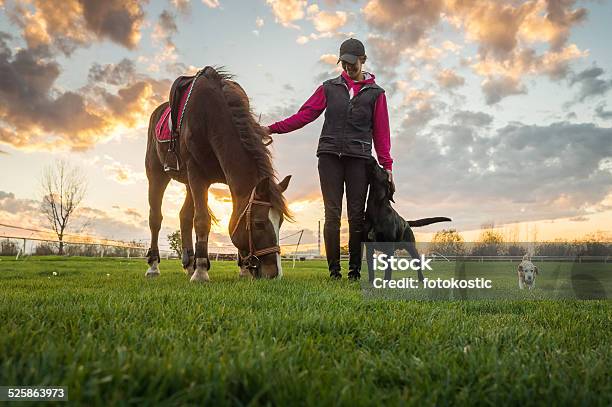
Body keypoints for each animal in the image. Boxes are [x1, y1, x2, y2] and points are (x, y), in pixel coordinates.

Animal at [146, 67, 294, 284]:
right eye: (258, 223)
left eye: (281, 222)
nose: (274, 274)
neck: (210, 115)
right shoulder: (197, 173)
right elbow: (202, 220)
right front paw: (201, 271)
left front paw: (243, 269)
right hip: (157, 174)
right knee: (155, 218)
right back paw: (154, 266)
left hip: (188, 183)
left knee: (184, 216)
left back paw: (188, 264)